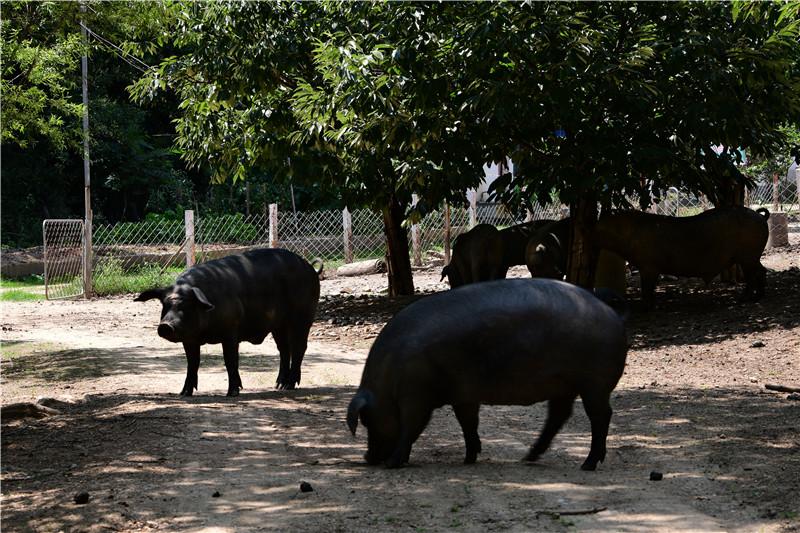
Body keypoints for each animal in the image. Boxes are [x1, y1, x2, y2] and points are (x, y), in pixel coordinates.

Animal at [136, 247, 320, 392]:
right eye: (164, 305)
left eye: (185, 306)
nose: (166, 325)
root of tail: (310, 267)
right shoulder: (190, 339)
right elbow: (192, 363)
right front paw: (184, 393)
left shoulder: (231, 330)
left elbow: (230, 360)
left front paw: (232, 392)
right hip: (278, 325)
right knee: (283, 349)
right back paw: (279, 385)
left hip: (302, 316)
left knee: (299, 347)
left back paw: (289, 386)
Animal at [346, 278, 628, 470]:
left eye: (367, 419)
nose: (368, 458)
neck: (386, 383)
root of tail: (610, 310)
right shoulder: (463, 395)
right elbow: (468, 423)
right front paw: (469, 459)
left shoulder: (416, 395)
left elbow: (411, 426)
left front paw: (393, 463)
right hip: (564, 385)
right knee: (558, 417)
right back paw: (528, 457)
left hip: (595, 384)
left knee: (600, 416)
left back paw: (587, 464)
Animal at [592, 208, 768, 308]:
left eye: (600, 227)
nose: (590, 230)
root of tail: (761, 217)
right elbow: (649, 287)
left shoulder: (649, 267)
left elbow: (647, 287)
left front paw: (647, 306)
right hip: (750, 257)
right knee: (761, 271)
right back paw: (756, 296)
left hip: (748, 256)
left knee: (754, 274)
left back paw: (745, 299)